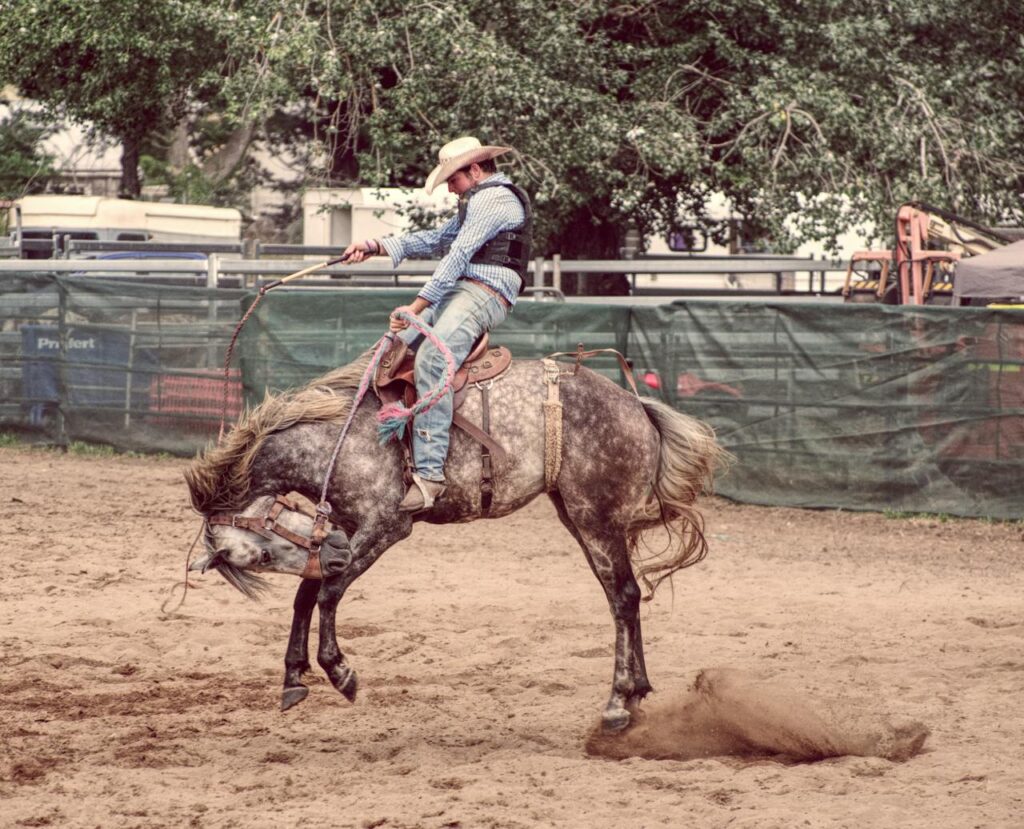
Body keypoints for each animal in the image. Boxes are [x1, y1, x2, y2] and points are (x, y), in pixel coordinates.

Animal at [184, 349, 723, 731]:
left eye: (260, 555)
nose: (331, 551)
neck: (339, 436)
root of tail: (636, 405)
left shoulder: (385, 526)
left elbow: (328, 593)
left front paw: (340, 673)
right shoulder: (345, 531)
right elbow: (307, 593)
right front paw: (293, 678)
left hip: (596, 517)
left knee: (626, 596)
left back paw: (617, 704)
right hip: (579, 516)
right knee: (621, 598)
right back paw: (634, 695)